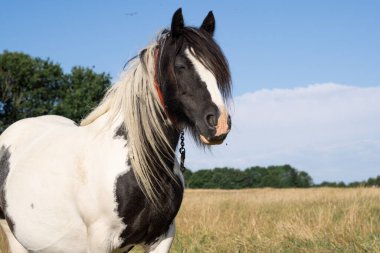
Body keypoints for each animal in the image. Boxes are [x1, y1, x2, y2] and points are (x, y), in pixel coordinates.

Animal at [0, 8, 232, 253]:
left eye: (216, 69)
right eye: (181, 66)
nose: (219, 122)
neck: (141, 165)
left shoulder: (163, 236)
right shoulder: (101, 241)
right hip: (14, 235)